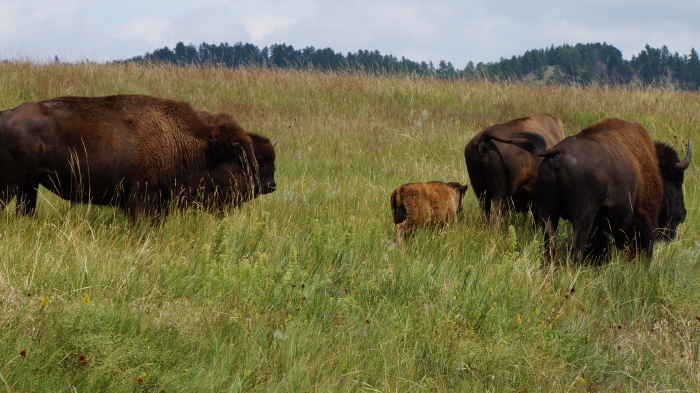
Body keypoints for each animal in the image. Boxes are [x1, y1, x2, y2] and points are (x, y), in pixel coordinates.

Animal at [0, 94, 278, 217]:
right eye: (240, 159)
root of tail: (6, 114)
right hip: (11, 185)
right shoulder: (144, 195)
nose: (267, 186)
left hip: (29, 186)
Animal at [492, 118, 688, 262]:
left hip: (548, 212)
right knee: (576, 246)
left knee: (550, 243)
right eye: (677, 182)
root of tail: (558, 151)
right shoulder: (642, 218)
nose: (683, 214)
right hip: (583, 216)